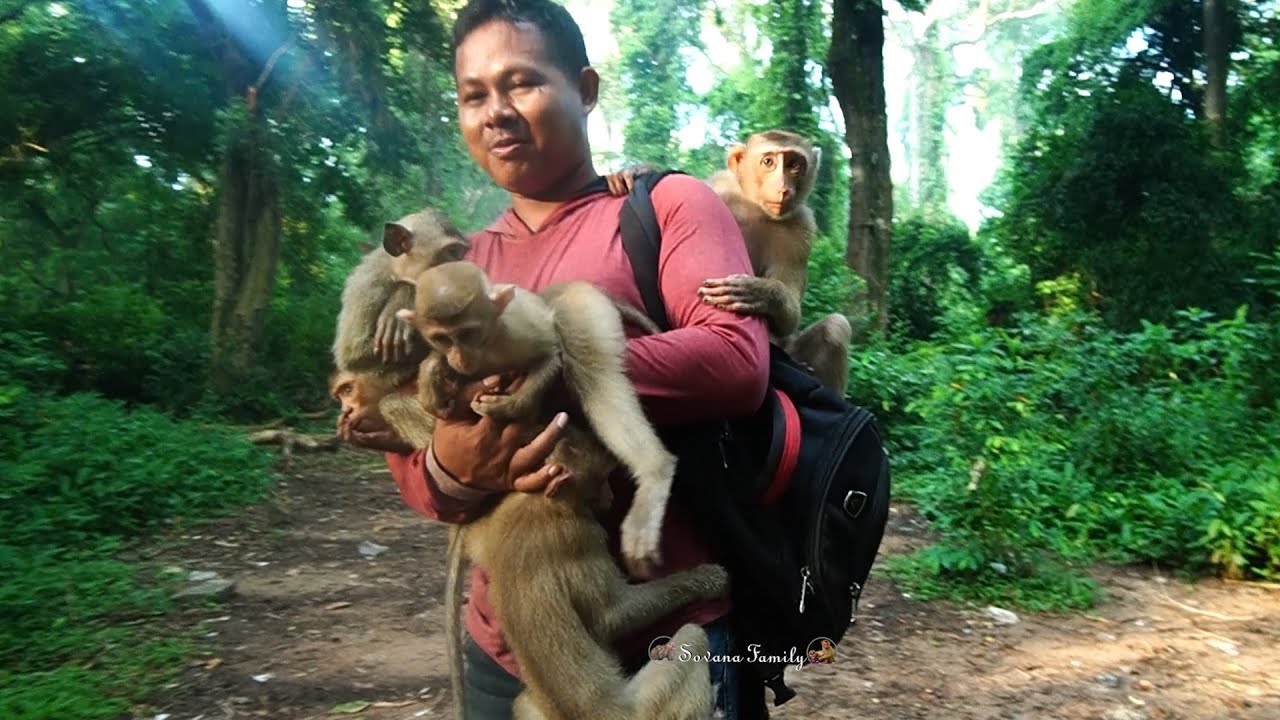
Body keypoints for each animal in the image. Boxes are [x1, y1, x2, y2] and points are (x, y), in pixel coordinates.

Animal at [390, 259, 725, 720]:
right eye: (443, 337)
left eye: (469, 333)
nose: (458, 355)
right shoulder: (580, 533)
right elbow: (611, 616)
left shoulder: (517, 334)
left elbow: (549, 355)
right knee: (691, 634)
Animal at [605, 129, 854, 397]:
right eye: (768, 162)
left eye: (794, 165)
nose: (783, 188)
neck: (755, 208)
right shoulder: (720, 187)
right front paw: (639, 170)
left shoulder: (802, 228)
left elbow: (791, 316)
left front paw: (760, 293)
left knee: (836, 327)